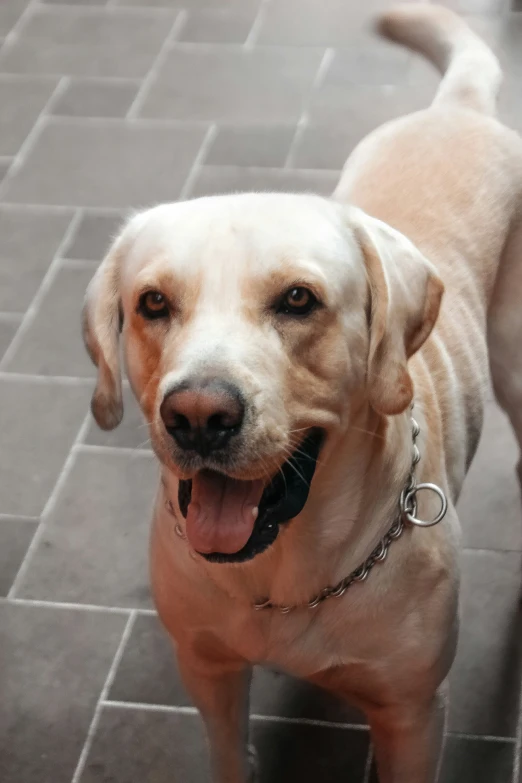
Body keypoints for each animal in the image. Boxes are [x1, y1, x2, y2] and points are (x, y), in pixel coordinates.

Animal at [81, 7, 520, 783]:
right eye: (153, 302)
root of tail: (459, 109)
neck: (282, 584)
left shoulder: (413, 713)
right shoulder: (209, 670)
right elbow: (229, 753)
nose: (198, 416)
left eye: (297, 299)